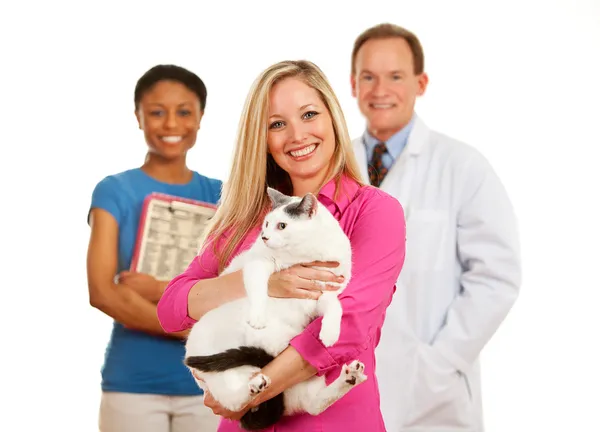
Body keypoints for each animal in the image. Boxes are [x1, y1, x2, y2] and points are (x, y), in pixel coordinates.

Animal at [185, 187, 368, 430]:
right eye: (266, 224)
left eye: (282, 225)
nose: (265, 237)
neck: (303, 255)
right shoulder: (258, 264)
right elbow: (258, 289)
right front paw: (258, 317)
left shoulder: (323, 293)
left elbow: (335, 308)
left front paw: (330, 334)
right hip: (216, 364)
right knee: (234, 401)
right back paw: (254, 386)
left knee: (313, 404)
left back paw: (350, 378)